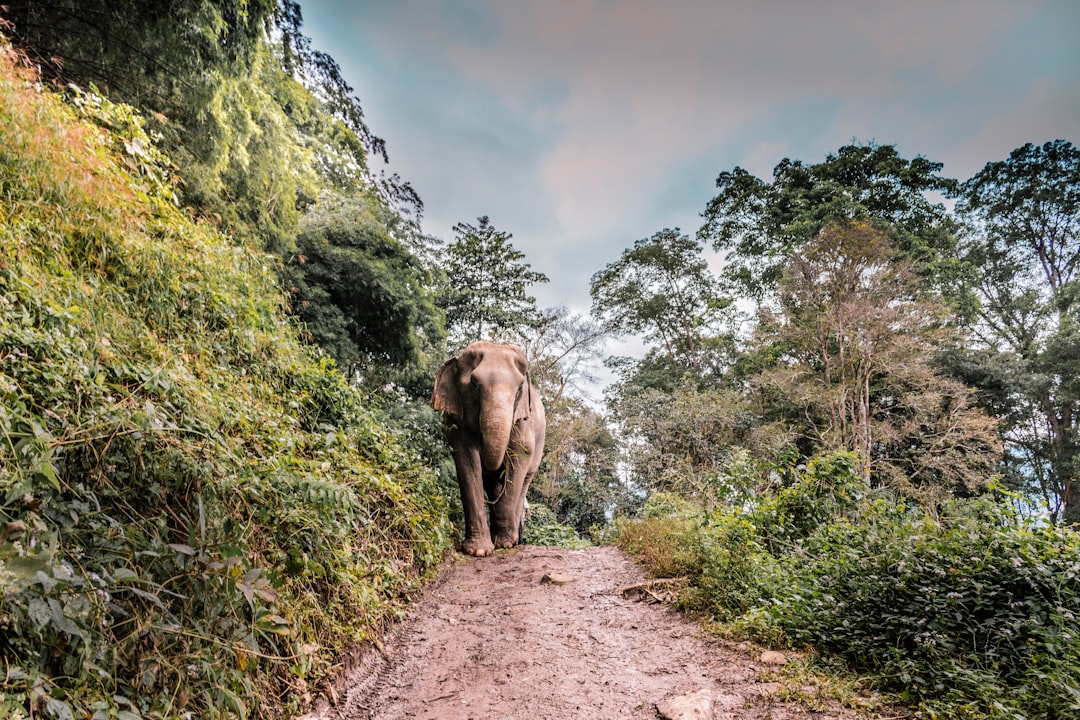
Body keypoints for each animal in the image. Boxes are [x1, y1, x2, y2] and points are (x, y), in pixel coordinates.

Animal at [432, 343, 544, 557]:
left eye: (519, 388)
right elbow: (467, 459)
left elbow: (520, 456)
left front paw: (505, 544)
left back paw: (512, 540)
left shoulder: (522, 421)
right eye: (474, 385)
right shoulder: (457, 422)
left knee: (523, 481)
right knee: (493, 486)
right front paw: (478, 551)